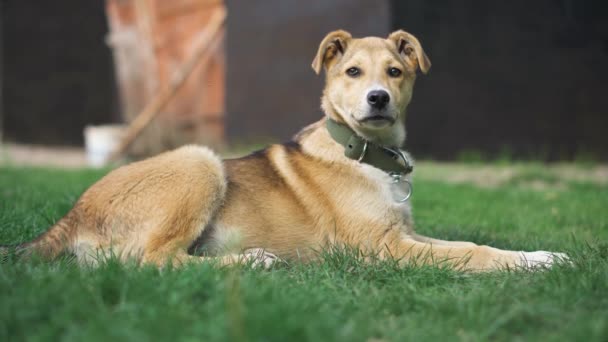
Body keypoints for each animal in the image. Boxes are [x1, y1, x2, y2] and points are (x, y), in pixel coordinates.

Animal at [3, 30, 564, 270]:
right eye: (352, 72)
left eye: (395, 72)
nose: (377, 99)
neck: (365, 155)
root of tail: (71, 217)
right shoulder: (378, 247)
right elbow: (472, 252)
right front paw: (530, 263)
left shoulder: (403, 234)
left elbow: (472, 244)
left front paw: (543, 256)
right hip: (197, 161)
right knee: (150, 261)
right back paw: (251, 263)